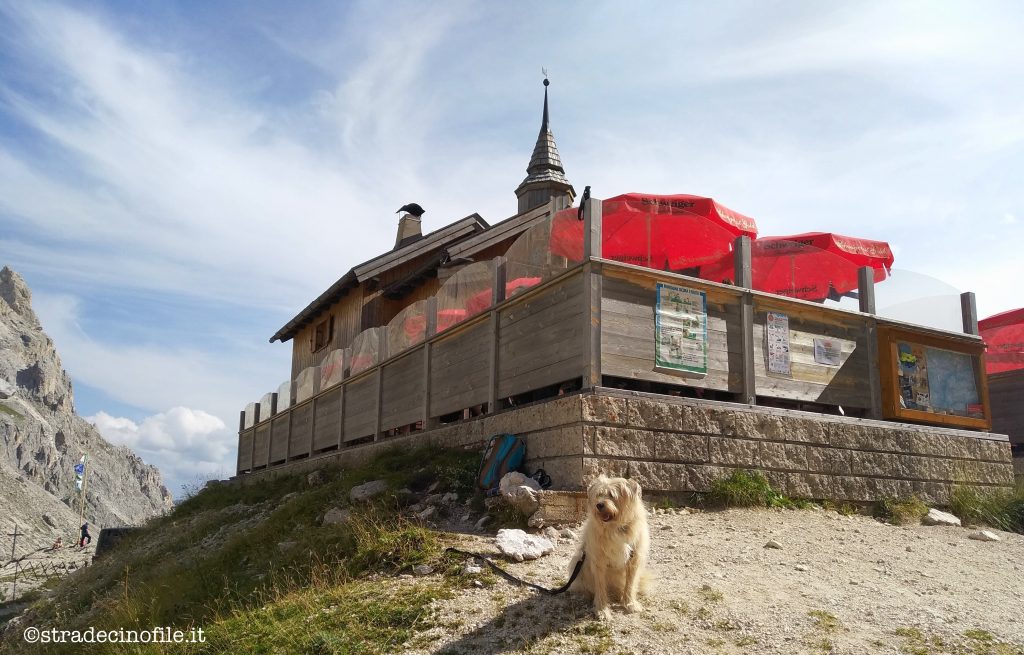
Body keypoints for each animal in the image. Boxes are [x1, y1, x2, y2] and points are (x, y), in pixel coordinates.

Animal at [569, 474, 647, 618]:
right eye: (599, 494)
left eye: (612, 495)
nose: (599, 505)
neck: (614, 528)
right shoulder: (598, 562)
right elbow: (600, 587)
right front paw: (602, 610)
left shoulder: (633, 560)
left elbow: (630, 584)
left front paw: (630, 604)